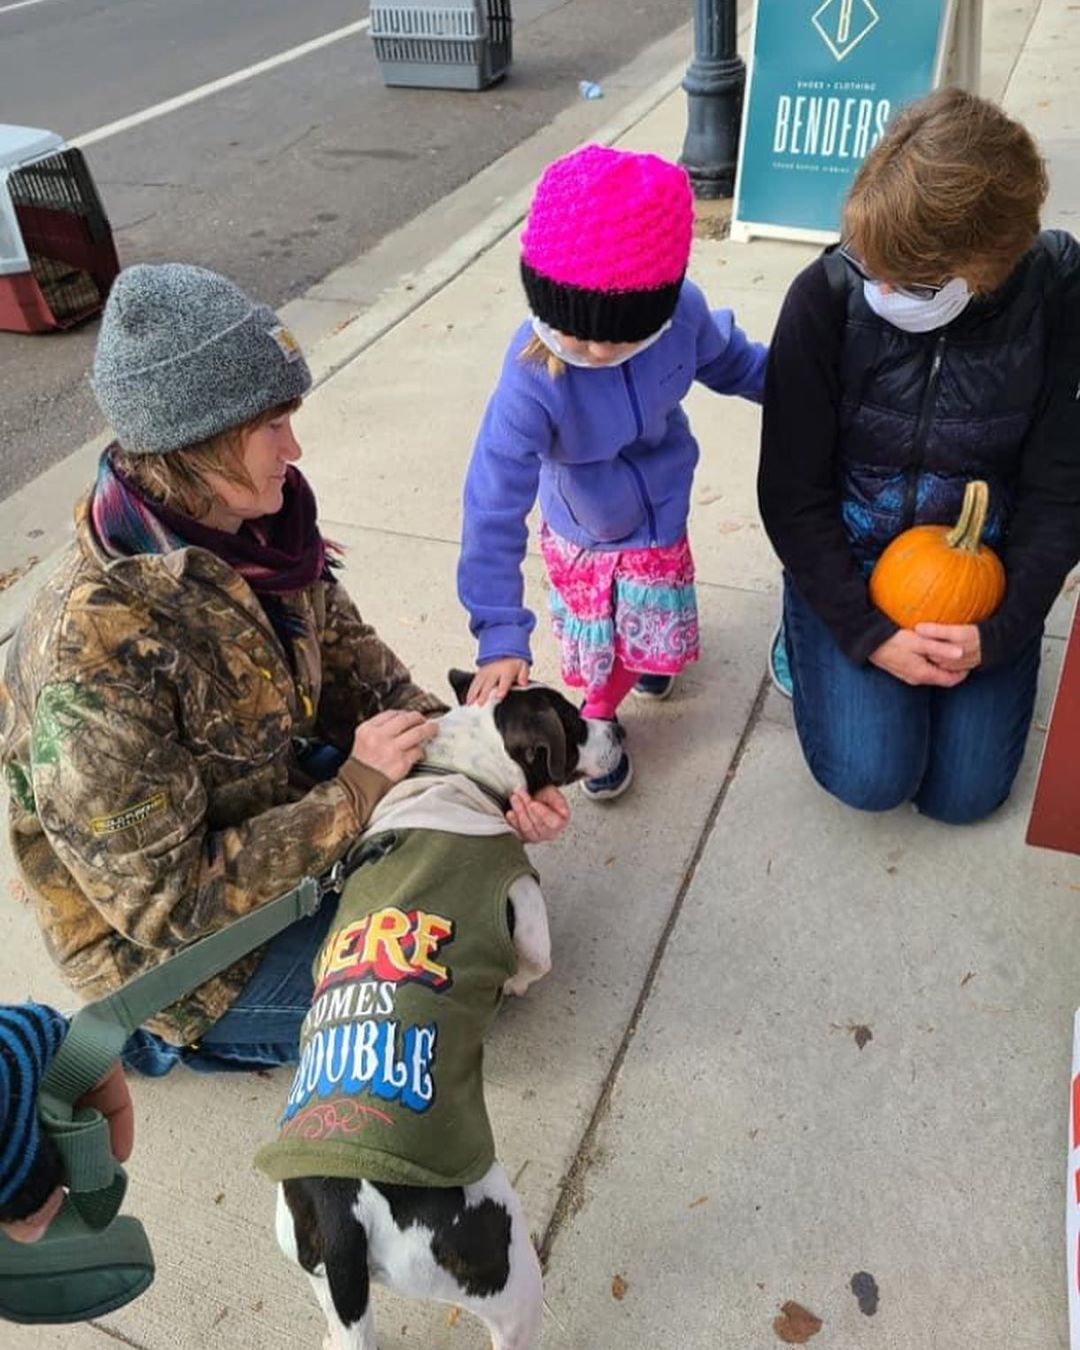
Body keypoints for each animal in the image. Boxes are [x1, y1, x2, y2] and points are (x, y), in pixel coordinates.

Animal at [265, 675, 621, 1350]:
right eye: (572, 721)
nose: (614, 726)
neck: (456, 772)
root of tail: (344, 1208)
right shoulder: (525, 911)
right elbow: (534, 962)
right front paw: (512, 987)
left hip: (307, 1255)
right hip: (509, 1273)